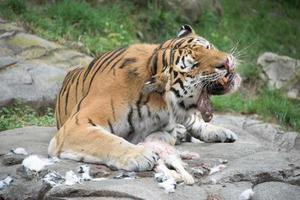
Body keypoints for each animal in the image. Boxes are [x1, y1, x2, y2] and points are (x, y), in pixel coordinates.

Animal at [49, 24, 241, 172]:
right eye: (194, 65)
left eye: (209, 48)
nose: (227, 62)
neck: (159, 101)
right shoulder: (76, 125)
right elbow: (108, 140)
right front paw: (140, 155)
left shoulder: (166, 129)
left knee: (196, 121)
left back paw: (221, 132)